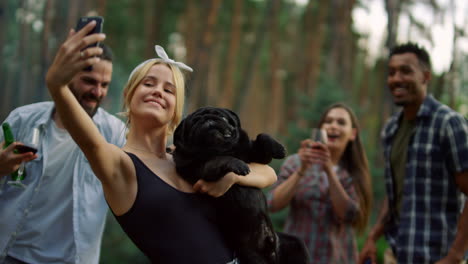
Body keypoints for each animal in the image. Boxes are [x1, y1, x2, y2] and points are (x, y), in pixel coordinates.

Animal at [174, 106, 308, 262]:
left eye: (221, 117)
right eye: (195, 122)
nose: (209, 119)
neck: (219, 148)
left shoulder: (257, 156)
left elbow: (262, 137)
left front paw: (279, 148)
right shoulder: (202, 168)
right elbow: (219, 159)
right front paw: (237, 164)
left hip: (295, 244)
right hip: (251, 256)